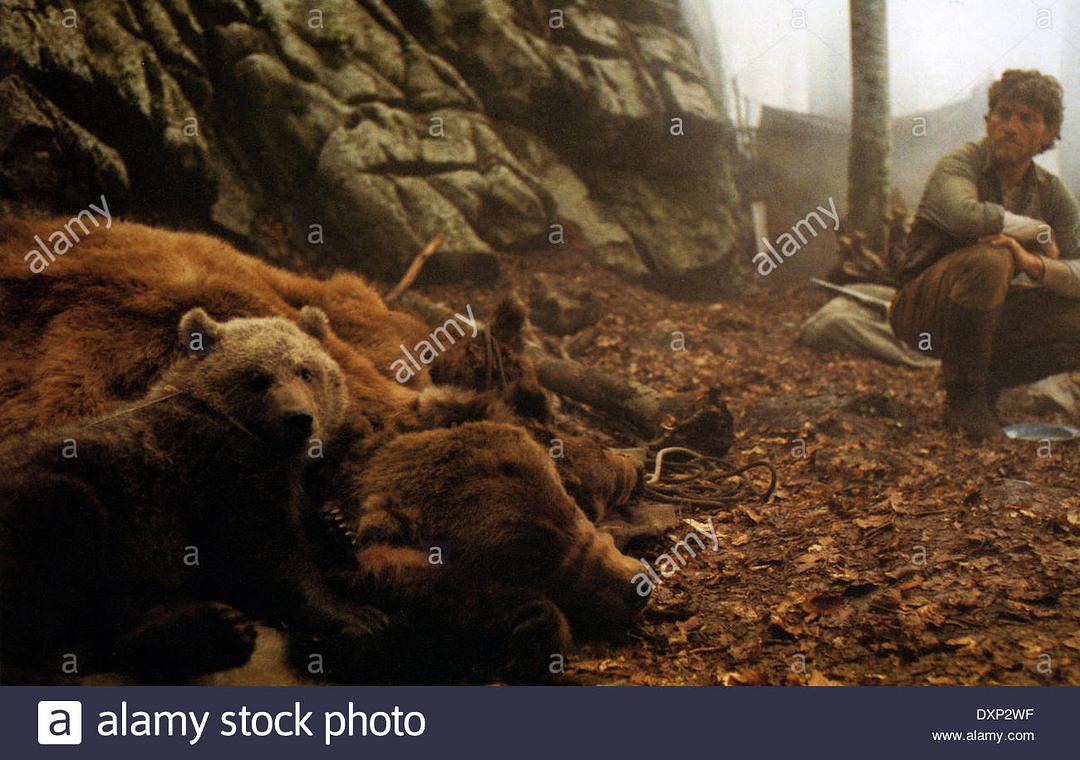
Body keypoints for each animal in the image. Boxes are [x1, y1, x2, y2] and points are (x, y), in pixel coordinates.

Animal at [0, 307, 386, 684]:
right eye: (258, 378)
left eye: (305, 371)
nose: (299, 418)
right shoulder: (216, 484)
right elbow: (266, 559)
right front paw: (354, 616)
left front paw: (336, 526)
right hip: (64, 502)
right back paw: (212, 632)